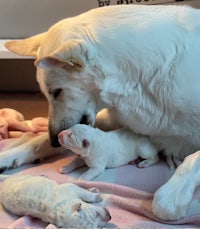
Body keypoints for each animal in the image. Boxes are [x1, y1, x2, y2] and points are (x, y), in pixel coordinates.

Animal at [2, 4, 200, 222]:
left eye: (57, 91)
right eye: (47, 94)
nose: (56, 141)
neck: (138, 80)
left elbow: (192, 162)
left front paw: (173, 195)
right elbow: (39, 140)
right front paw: (11, 155)